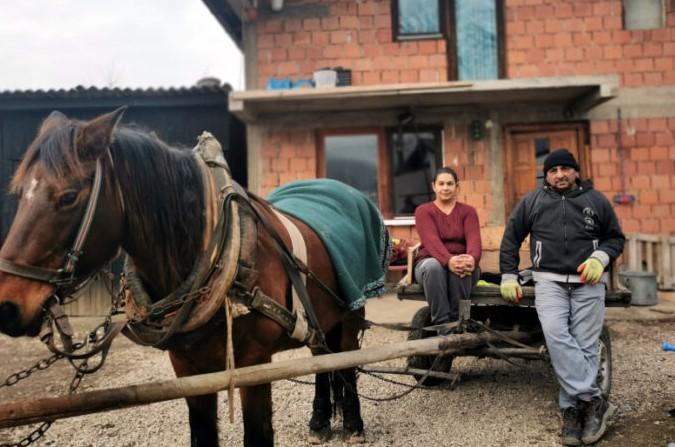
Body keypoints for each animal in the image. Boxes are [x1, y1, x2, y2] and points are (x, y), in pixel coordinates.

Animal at [0, 109, 388, 447]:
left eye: (68, 196)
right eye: (18, 194)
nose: (8, 306)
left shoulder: (254, 364)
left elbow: (258, 435)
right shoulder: (187, 369)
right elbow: (202, 435)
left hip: (351, 312)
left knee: (347, 359)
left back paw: (353, 423)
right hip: (319, 317)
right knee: (323, 358)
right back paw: (320, 422)